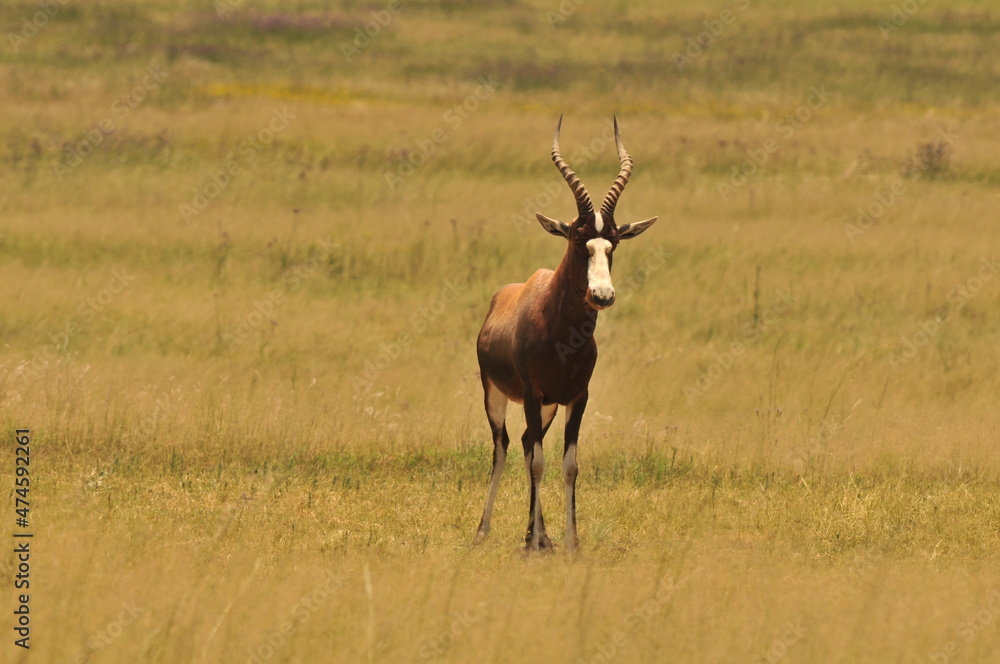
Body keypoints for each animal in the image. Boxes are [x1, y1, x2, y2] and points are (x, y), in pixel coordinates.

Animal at [474, 116, 658, 551]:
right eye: (577, 237)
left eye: (613, 242)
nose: (602, 295)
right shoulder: (530, 393)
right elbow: (539, 462)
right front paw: (532, 545)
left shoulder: (576, 397)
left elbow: (568, 465)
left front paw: (570, 542)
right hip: (496, 394)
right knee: (504, 448)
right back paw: (486, 531)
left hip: (547, 407)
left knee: (527, 443)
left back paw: (540, 535)